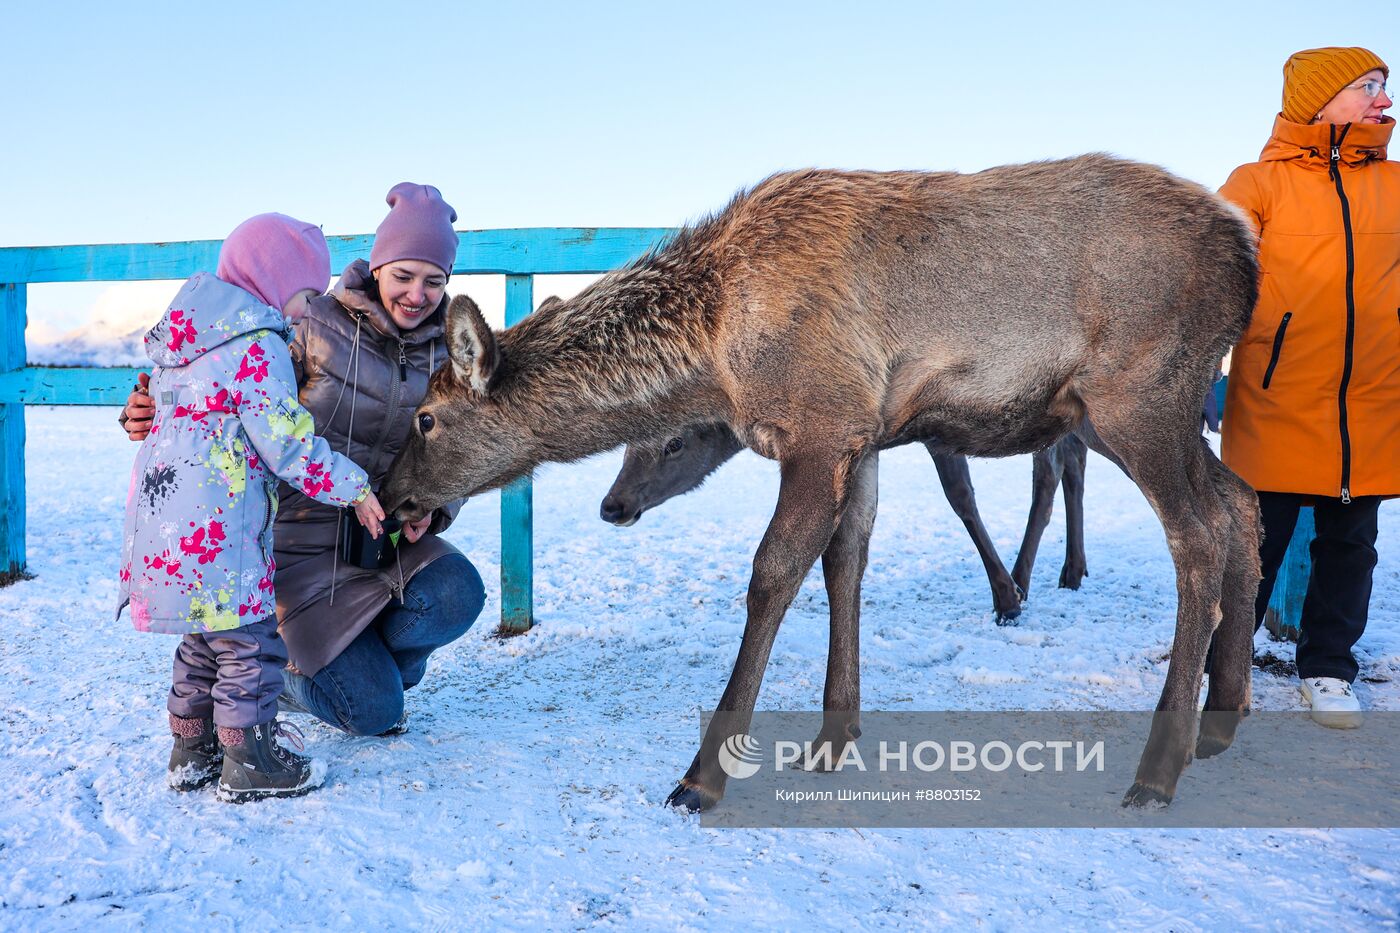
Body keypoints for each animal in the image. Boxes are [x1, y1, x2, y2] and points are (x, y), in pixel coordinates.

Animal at [596, 420, 1086, 616]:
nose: (611, 505)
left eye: (674, 443)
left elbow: (960, 496)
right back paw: (1071, 570)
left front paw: (1007, 597)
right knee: (1074, 462)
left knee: (1052, 470)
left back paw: (1030, 576)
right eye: (627, 441)